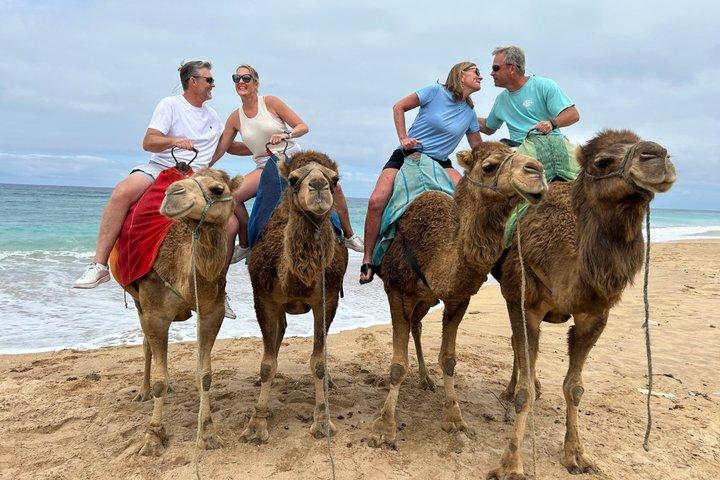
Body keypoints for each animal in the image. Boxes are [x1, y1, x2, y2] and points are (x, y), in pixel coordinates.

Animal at [109, 168, 243, 456]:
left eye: (217, 189)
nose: (173, 194)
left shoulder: (211, 312)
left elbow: (205, 375)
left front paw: (208, 432)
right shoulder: (155, 314)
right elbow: (160, 377)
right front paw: (152, 438)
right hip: (139, 302)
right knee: (147, 346)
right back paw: (143, 391)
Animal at [241, 150, 348, 443]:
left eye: (335, 179)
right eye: (293, 179)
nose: (319, 186)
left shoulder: (327, 298)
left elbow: (318, 362)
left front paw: (322, 421)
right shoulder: (264, 298)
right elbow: (267, 364)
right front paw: (256, 425)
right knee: (277, 336)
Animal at [367, 142, 548, 448]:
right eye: (488, 166)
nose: (536, 170)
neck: (433, 251)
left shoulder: (458, 298)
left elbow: (449, 360)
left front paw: (454, 418)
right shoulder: (396, 291)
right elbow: (398, 365)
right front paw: (383, 428)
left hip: (426, 299)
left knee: (417, 324)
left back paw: (426, 379)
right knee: (414, 325)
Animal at [487, 129, 676, 479]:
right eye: (602, 161)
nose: (657, 156)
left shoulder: (595, 313)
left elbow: (574, 387)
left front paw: (577, 455)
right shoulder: (526, 305)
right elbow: (524, 391)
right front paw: (511, 464)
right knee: (517, 348)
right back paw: (509, 390)